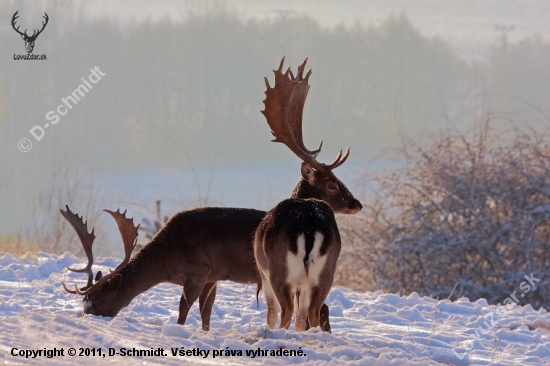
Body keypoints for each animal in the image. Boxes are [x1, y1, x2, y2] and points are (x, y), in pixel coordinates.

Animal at [254, 57, 362, 332]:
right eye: (333, 185)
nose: (357, 204)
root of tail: (310, 228)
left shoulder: (262, 270)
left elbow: (271, 313)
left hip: (280, 271)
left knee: (286, 311)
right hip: (326, 273)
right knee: (311, 312)